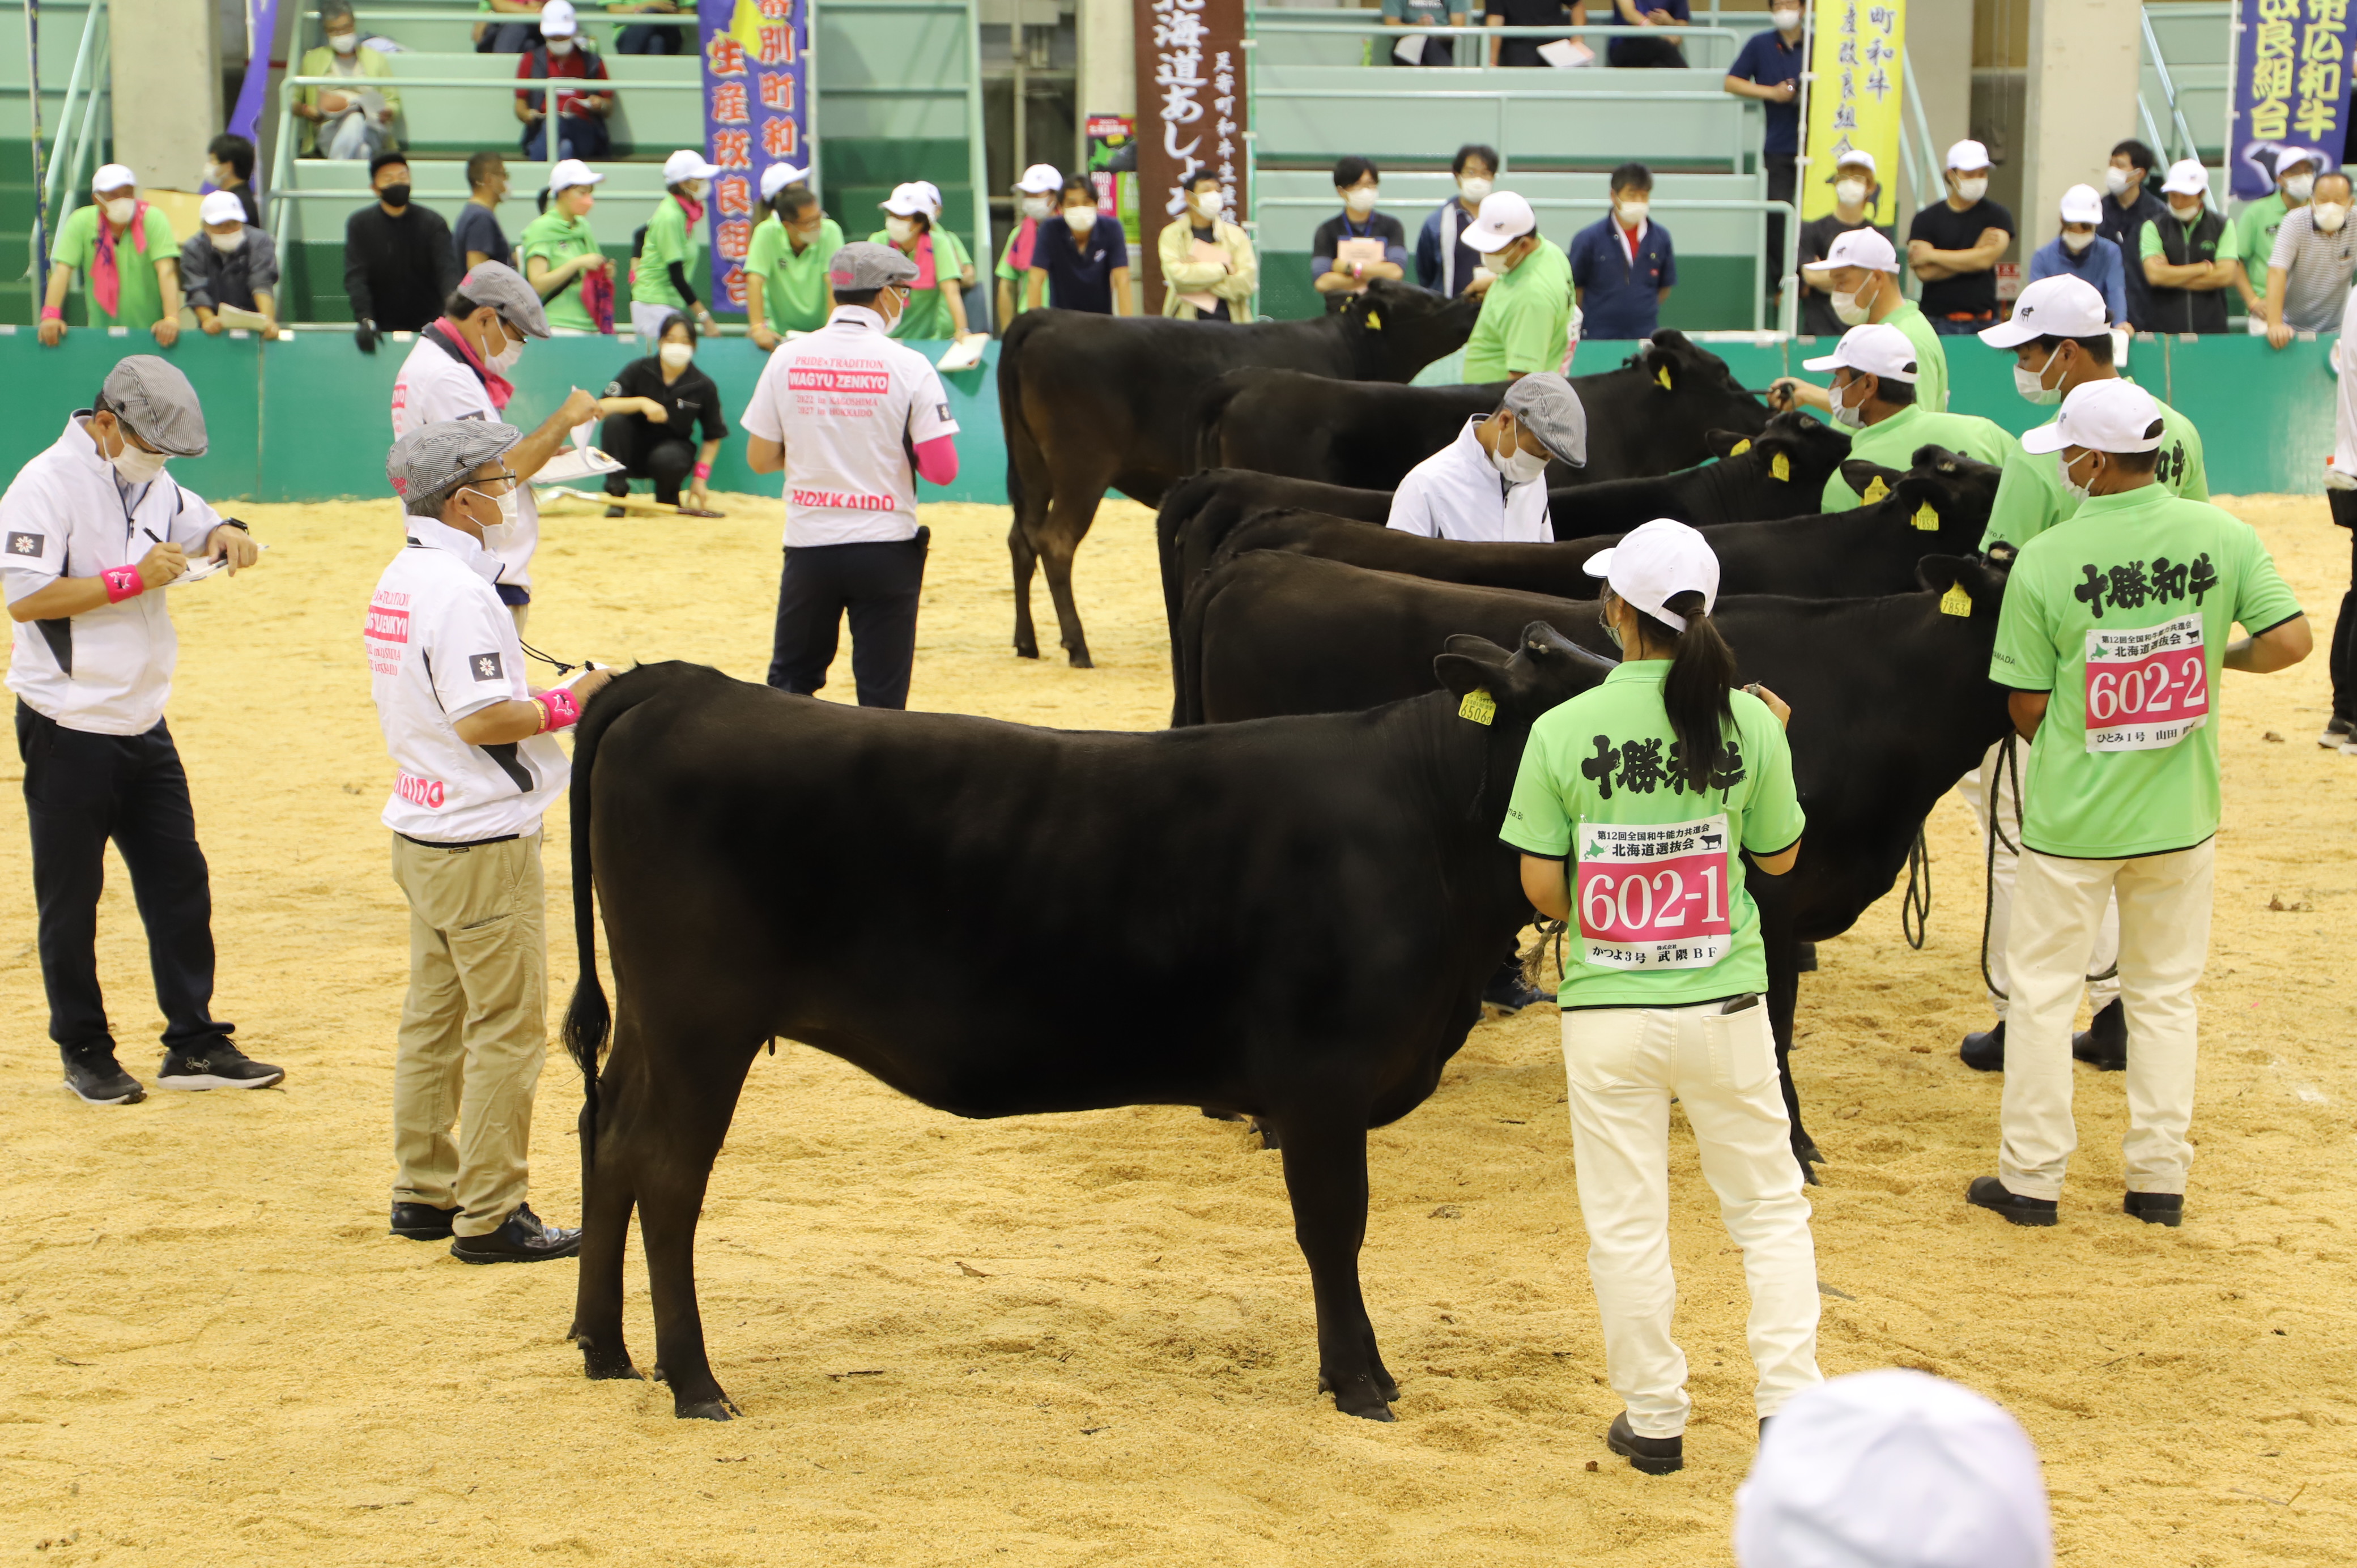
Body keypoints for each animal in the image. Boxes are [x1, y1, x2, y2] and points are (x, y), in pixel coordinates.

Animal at [561, 641, 1612, 1424]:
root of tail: (686, 683)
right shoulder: (1323, 1081)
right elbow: (1334, 1225)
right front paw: (1358, 1379)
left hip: (653, 1028)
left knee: (610, 1136)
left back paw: (605, 1347)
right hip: (700, 1024)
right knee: (667, 1173)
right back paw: (695, 1381)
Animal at [994, 278, 1470, 664]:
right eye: (1428, 299)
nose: (1469, 301)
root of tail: (1046, 315)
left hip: (1032, 465)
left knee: (1022, 538)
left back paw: (1026, 642)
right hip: (1082, 464)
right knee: (1055, 541)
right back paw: (1078, 646)